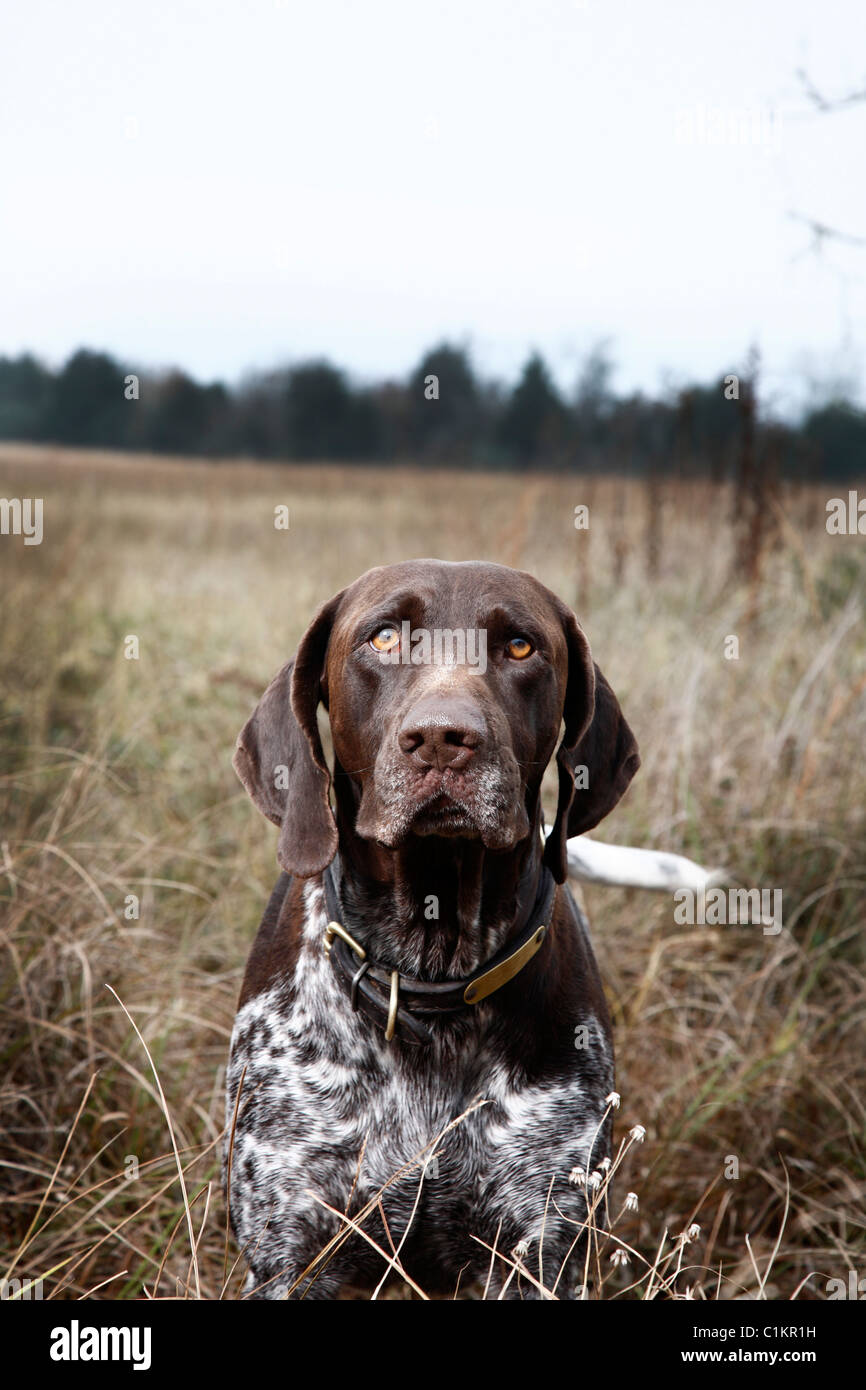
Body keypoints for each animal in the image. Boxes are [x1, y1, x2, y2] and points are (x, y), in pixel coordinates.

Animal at [226, 558, 639, 1295]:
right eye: (384, 637)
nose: (443, 738)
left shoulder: (538, 1250)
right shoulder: (289, 1254)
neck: (430, 977)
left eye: (520, 646)